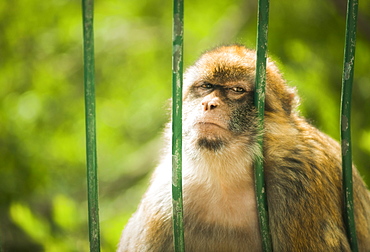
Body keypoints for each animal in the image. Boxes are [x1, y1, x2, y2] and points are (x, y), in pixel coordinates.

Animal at [118, 44, 370, 251]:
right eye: (206, 86)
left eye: (236, 90)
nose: (209, 103)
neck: (227, 175)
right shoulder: (164, 200)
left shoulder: (300, 182)